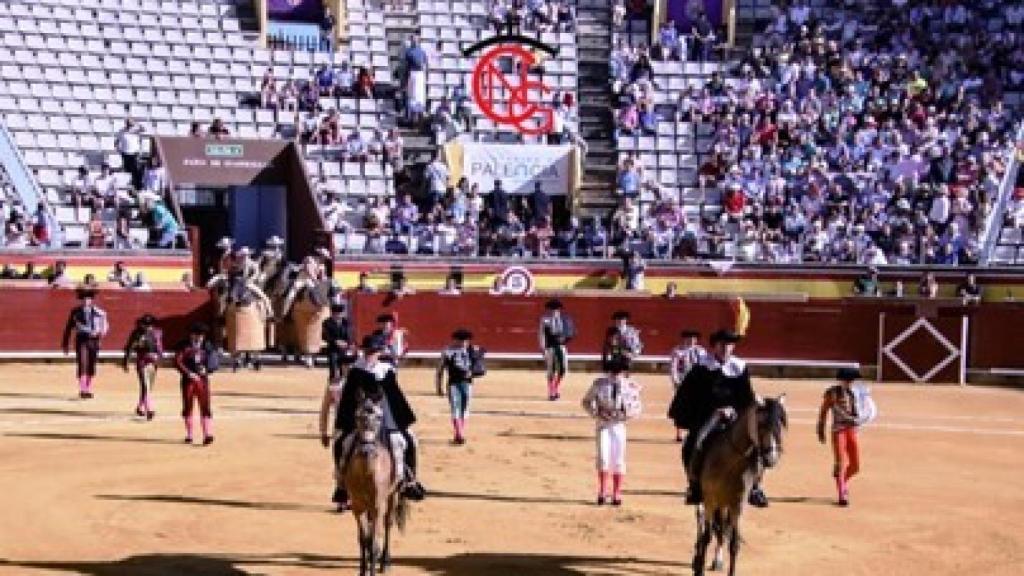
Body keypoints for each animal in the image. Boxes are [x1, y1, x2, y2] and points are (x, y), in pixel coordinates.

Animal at [344, 387, 407, 569]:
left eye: (379, 417)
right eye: (357, 416)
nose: (367, 450)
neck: (366, 474)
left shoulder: (377, 505)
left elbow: (373, 543)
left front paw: (374, 564)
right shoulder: (357, 507)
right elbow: (363, 540)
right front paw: (363, 570)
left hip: (392, 495)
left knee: (387, 523)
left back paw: (385, 560)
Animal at [692, 393, 786, 573]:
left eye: (780, 425)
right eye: (762, 424)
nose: (771, 458)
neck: (729, 461)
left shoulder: (737, 505)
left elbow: (734, 543)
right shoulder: (709, 501)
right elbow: (707, 535)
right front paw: (699, 567)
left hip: (724, 505)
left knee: (722, 529)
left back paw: (717, 560)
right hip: (705, 500)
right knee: (702, 524)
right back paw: (697, 559)